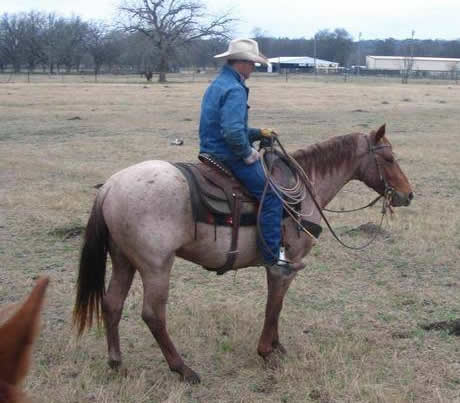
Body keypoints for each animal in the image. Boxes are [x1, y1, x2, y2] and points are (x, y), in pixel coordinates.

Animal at [73, 124, 414, 384]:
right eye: (389, 157)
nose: (408, 195)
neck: (304, 191)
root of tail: (111, 186)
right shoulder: (285, 264)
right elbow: (273, 306)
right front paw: (267, 352)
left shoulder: (278, 266)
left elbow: (275, 305)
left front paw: (277, 347)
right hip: (156, 266)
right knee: (153, 315)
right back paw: (183, 369)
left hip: (124, 260)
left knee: (112, 304)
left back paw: (117, 363)